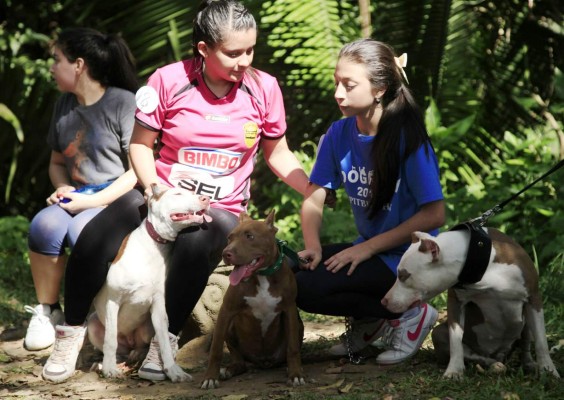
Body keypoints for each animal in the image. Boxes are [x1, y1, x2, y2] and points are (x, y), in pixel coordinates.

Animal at [88, 184, 212, 382]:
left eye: (193, 192)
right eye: (177, 193)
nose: (206, 199)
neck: (155, 246)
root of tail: (130, 342)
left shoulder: (159, 308)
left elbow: (164, 342)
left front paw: (173, 371)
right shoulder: (113, 301)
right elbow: (110, 340)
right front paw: (109, 369)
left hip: (147, 327)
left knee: (141, 346)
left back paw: (138, 354)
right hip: (93, 325)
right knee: (116, 347)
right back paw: (104, 363)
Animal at [199, 209, 304, 388]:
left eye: (250, 236)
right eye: (230, 237)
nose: (225, 253)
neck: (261, 276)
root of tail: (263, 362)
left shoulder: (289, 309)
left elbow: (293, 348)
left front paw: (295, 374)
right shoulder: (226, 311)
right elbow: (216, 349)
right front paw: (210, 378)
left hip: (298, 325)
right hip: (230, 328)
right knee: (239, 361)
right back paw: (229, 369)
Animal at [384, 227, 560, 380]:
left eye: (403, 275)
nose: (383, 301)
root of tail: (499, 353)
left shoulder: (534, 299)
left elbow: (541, 341)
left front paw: (549, 370)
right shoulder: (456, 302)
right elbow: (456, 341)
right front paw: (454, 371)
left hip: (526, 323)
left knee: (525, 343)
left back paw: (529, 364)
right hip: (439, 332)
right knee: (475, 356)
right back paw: (494, 365)